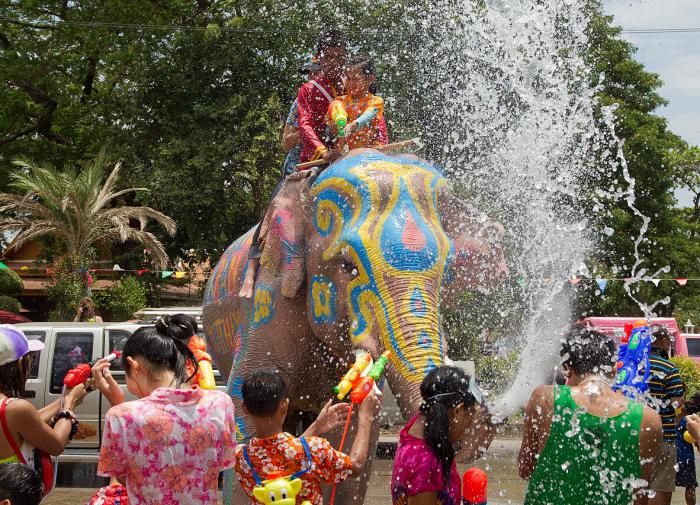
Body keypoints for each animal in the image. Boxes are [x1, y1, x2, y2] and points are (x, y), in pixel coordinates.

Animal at [204, 148, 508, 502]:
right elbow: (246, 407)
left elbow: (347, 446)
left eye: (447, 273)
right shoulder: (268, 302)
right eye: (348, 266)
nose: (477, 417)